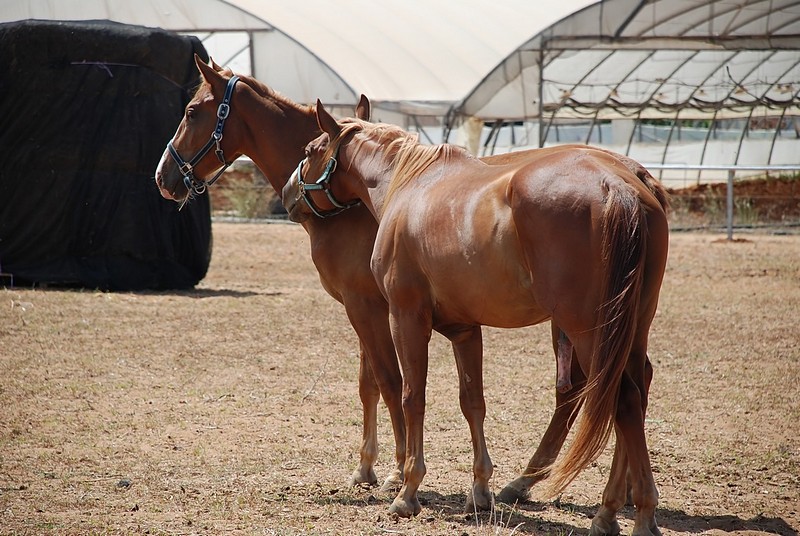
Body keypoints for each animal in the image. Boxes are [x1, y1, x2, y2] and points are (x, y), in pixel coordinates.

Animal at [284, 101, 672, 536]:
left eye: (310, 149)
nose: (287, 194)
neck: (409, 184)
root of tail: (616, 186)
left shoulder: (405, 316)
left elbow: (410, 396)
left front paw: (407, 491)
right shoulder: (464, 329)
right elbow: (473, 402)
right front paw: (480, 492)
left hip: (588, 330)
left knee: (620, 400)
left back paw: (633, 512)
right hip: (631, 330)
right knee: (634, 397)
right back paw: (612, 510)